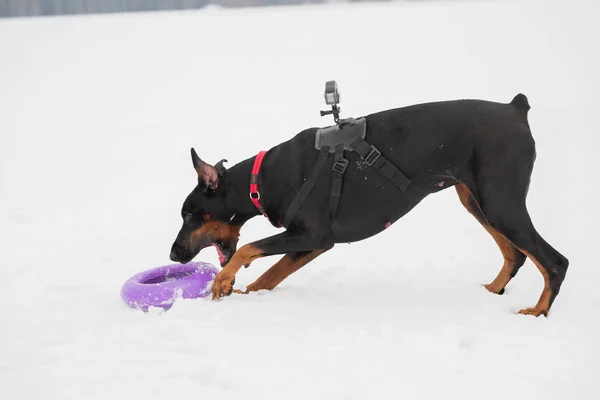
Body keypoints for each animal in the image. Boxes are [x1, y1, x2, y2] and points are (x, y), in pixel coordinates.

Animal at [168, 95, 568, 318]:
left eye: (189, 214)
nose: (173, 255)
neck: (260, 181)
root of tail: (515, 110)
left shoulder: (312, 234)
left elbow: (247, 249)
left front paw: (222, 281)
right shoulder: (313, 243)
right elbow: (270, 276)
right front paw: (241, 292)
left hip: (500, 202)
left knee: (554, 261)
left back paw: (537, 311)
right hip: (476, 199)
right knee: (516, 255)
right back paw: (492, 291)